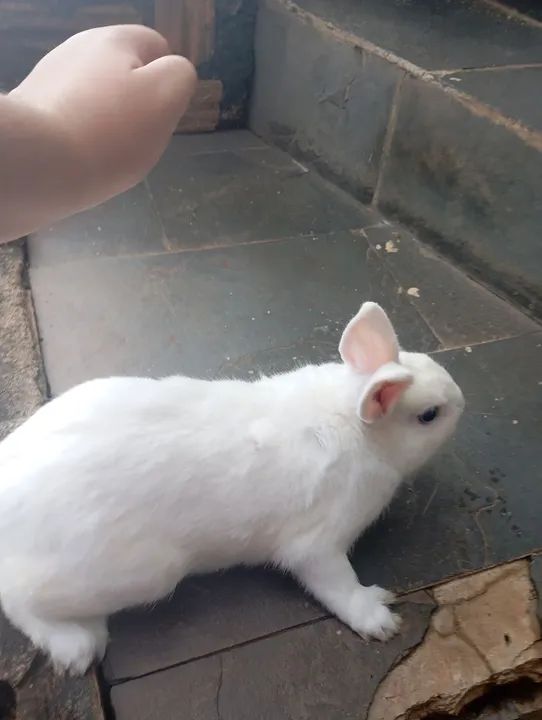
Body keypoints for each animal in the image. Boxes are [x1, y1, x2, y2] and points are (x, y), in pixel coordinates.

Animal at [0, 302, 464, 674]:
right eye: (429, 415)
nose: (462, 399)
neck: (352, 422)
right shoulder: (317, 544)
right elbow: (337, 583)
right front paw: (380, 618)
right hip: (141, 572)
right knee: (17, 597)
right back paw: (78, 646)